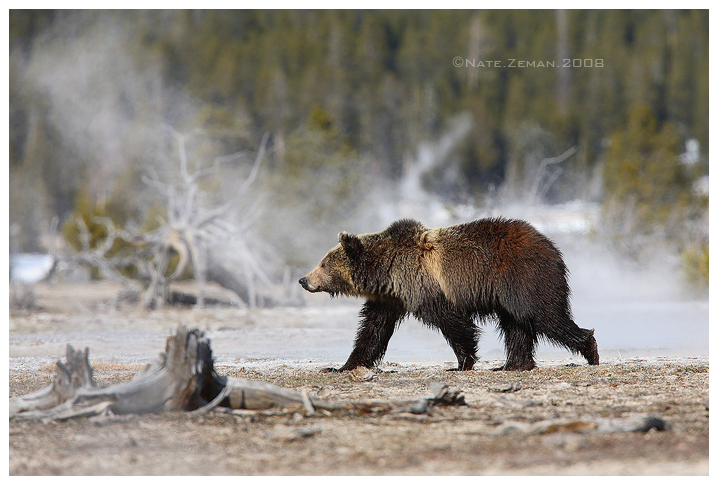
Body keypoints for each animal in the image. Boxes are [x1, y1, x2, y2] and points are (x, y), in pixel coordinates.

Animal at [296, 217, 596, 372]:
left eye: (323, 263)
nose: (303, 279)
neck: (387, 270)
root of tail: (552, 246)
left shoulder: (424, 286)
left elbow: (452, 322)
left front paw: (463, 362)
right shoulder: (390, 298)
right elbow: (373, 330)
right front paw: (343, 365)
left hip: (523, 278)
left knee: (545, 316)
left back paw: (590, 348)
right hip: (508, 295)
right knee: (516, 326)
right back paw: (513, 364)